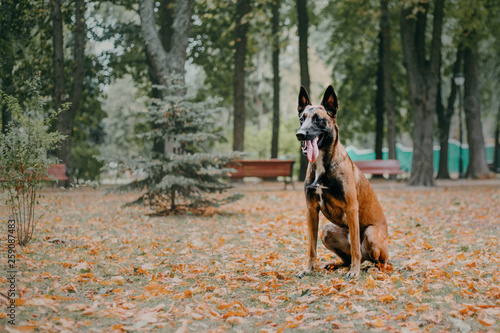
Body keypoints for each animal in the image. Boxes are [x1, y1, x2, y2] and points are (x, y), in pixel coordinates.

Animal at [294, 84, 388, 276]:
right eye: (302, 119)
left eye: (318, 120)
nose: (300, 134)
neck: (323, 163)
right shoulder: (311, 209)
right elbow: (311, 247)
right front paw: (308, 268)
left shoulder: (352, 208)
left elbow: (355, 247)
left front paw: (355, 271)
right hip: (327, 230)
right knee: (348, 258)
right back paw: (336, 264)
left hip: (371, 233)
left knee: (379, 261)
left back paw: (370, 268)